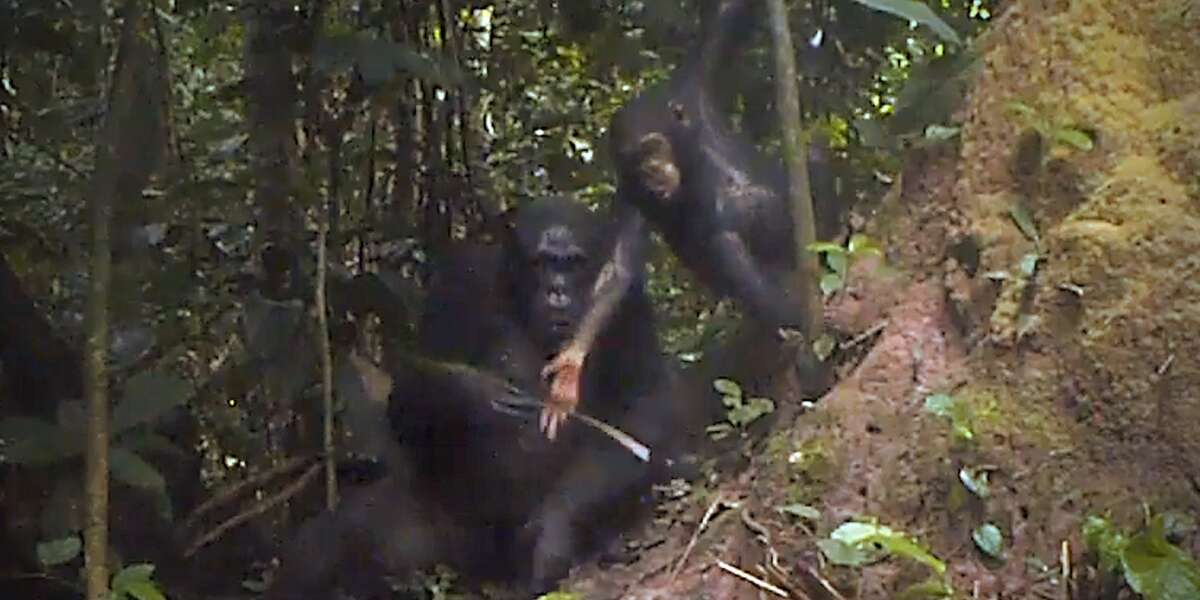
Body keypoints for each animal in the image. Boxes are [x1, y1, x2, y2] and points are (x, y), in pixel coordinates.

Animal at [267, 196, 686, 600]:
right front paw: (471, 394)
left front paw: (554, 530)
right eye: (542, 262)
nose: (558, 291)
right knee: (325, 543)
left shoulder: (629, 299)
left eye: (573, 263)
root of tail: (484, 573)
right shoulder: (459, 283)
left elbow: (646, 402)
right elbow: (410, 392)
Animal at [540, 0, 820, 434]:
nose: (654, 172)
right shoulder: (631, 194)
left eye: (654, 148)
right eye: (636, 160)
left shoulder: (696, 80)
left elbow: (730, 17)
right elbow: (618, 269)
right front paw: (570, 367)